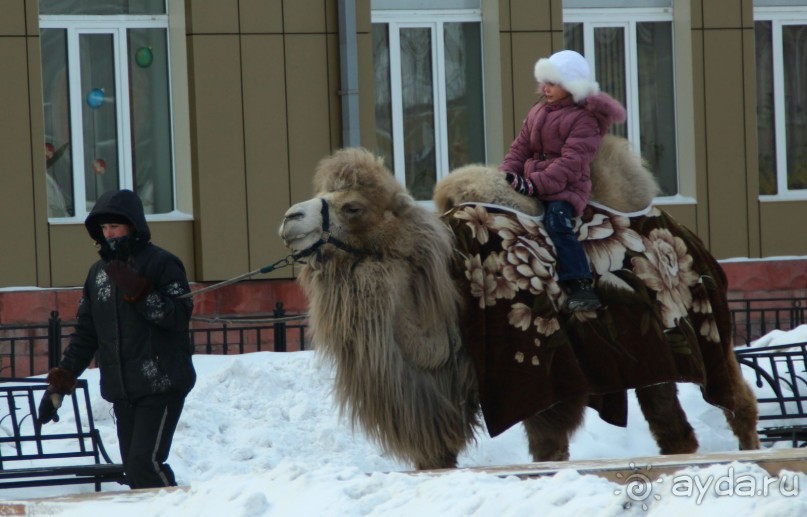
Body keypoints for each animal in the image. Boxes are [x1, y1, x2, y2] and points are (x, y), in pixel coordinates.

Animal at [280, 137, 764, 468]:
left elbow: (548, 448)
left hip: (708, 330)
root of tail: (691, 238)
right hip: (657, 352)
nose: (289, 218)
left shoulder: (542, 375)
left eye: (354, 207)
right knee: (672, 425)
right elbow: (437, 456)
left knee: (736, 401)